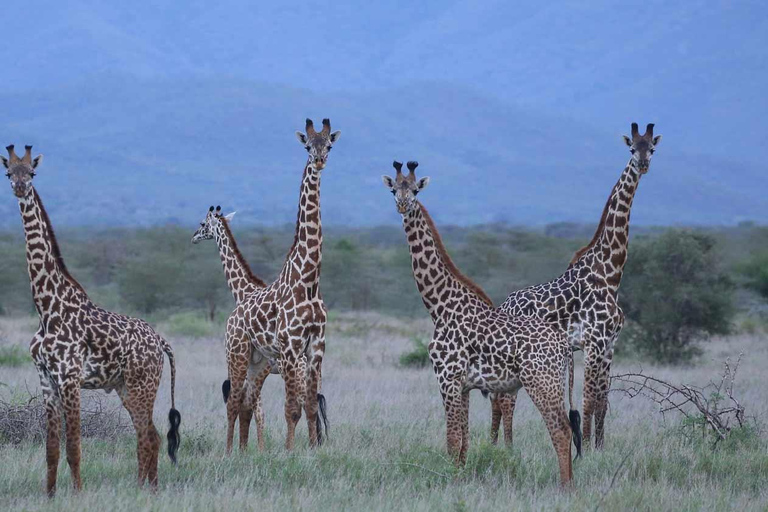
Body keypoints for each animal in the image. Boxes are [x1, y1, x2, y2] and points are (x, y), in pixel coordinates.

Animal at [3, 145, 180, 496]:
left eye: (32, 172)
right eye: (8, 173)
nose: (20, 188)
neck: (46, 307)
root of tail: (160, 340)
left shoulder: (70, 378)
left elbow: (74, 445)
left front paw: (77, 494)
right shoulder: (46, 379)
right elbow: (51, 448)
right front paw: (49, 495)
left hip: (143, 385)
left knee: (149, 437)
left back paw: (148, 490)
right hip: (126, 387)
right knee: (149, 436)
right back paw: (143, 488)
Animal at [192, 206, 280, 450]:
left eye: (202, 224)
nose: (193, 236)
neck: (244, 292)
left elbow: (250, 408)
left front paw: (242, 449)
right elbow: (256, 410)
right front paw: (254, 449)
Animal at [224, 117, 340, 452]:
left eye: (329, 145)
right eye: (307, 145)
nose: (319, 160)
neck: (309, 279)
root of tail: (233, 315)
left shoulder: (316, 347)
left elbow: (310, 405)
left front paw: (313, 450)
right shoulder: (290, 347)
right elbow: (292, 409)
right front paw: (289, 452)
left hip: (258, 359)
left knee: (245, 402)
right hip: (237, 353)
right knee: (233, 402)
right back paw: (227, 452)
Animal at [380, 162, 580, 486]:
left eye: (416, 190)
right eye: (393, 189)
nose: (402, 205)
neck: (439, 306)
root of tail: (564, 346)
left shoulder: (447, 378)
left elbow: (451, 439)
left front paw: (448, 481)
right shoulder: (464, 386)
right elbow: (464, 440)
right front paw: (459, 477)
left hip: (542, 382)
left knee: (561, 430)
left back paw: (565, 488)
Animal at [492, 122, 660, 450]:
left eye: (652, 148)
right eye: (631, 148)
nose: (643, 164)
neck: (611, 273)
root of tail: (503, 305)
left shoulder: (609, 345)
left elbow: (603, 401)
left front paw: (601, 447)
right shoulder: (593, 343)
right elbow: (589, 401)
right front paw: (590, 450)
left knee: (499, 398)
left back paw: (496, 445)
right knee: (505, 400)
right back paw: (508, 449)